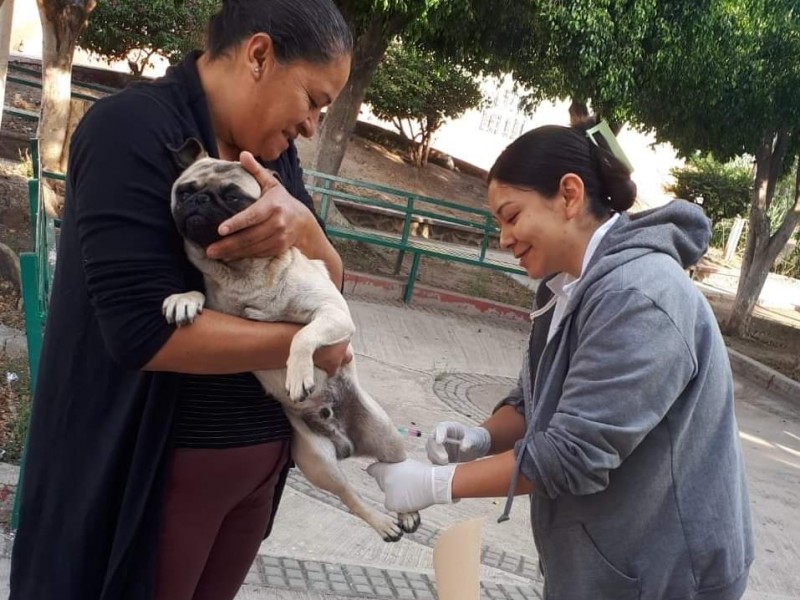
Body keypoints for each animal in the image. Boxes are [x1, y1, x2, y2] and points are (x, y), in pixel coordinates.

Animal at [163, 138, 422, 540]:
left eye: (234, 196)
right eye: (185, 191)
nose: (200, 200)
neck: (244, 271)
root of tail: (343, 437)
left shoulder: (333, 312)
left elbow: (302, 334)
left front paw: (299, 372)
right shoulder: (224, 315)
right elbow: (200, 294)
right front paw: (184, 299)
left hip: (387, 437)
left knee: (395, 469)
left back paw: (403, 516)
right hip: (319, 461)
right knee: (349, 495)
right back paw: (382, 521)